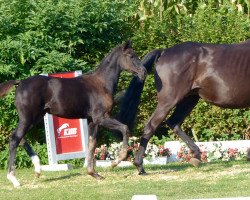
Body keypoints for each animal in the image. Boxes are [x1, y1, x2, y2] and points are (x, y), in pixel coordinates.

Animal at [0, 39, 146, 187]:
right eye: (131, 56)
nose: (144, 72)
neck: (102, 83)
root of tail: (20, 83)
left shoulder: (92, 121)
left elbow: (92, 143)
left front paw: (94, 173)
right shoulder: (101, 118)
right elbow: (125, 128)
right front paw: (115, 162)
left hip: (33, 118)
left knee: (19, 138)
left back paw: (37, 169)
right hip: (28, 118)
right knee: (15, 139)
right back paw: (14, 179)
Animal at [134, 39, 250, 174]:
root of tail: (164, 52)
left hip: (190, 99)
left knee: (174, 122)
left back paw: (196, 157)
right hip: (169, 100)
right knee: (151, 126)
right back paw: (140, 166)